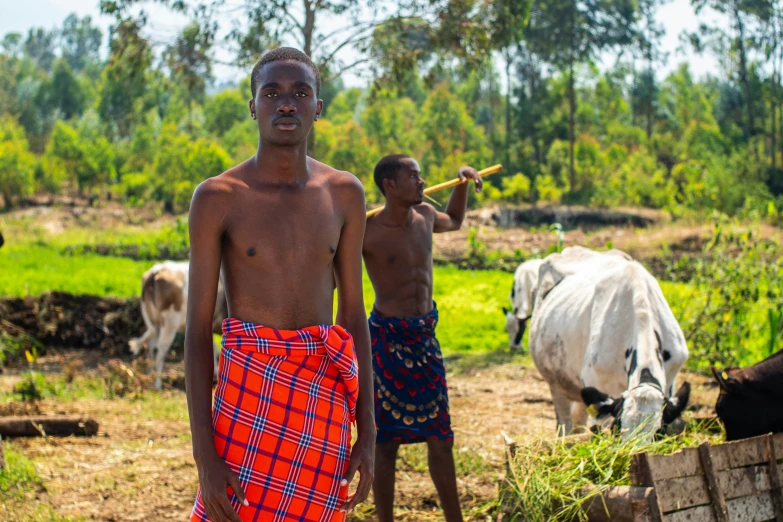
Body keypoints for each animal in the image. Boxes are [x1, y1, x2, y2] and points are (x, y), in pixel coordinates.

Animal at [129, 258, 227, 386]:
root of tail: (157, 270)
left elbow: (213, 348)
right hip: (169, 324)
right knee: (160, 349)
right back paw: (157, 384)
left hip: (154, 322)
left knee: (151, 346)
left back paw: (149, 378)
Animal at [528, 252, 688, 438]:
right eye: (617, 430)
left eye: (658, 433)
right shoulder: (600, 386)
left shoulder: (670, 381)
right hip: (557, 384)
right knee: (565, 424)